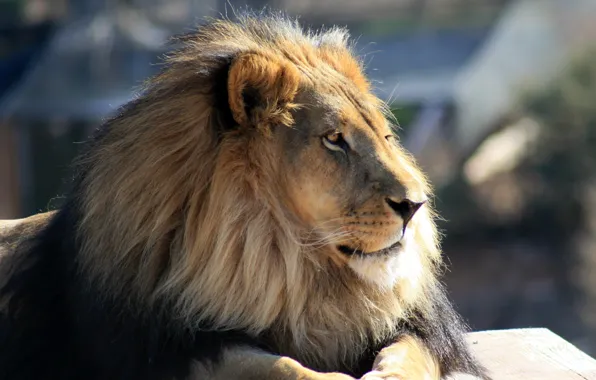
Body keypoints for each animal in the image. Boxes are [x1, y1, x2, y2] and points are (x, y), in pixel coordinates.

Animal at [0, 13, 488, 380]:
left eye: (386, 136)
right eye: (334, 140)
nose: (414, 205)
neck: (288, 265)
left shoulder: (423, 331)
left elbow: (408, 353)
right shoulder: (163, 347)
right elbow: (276, 366)